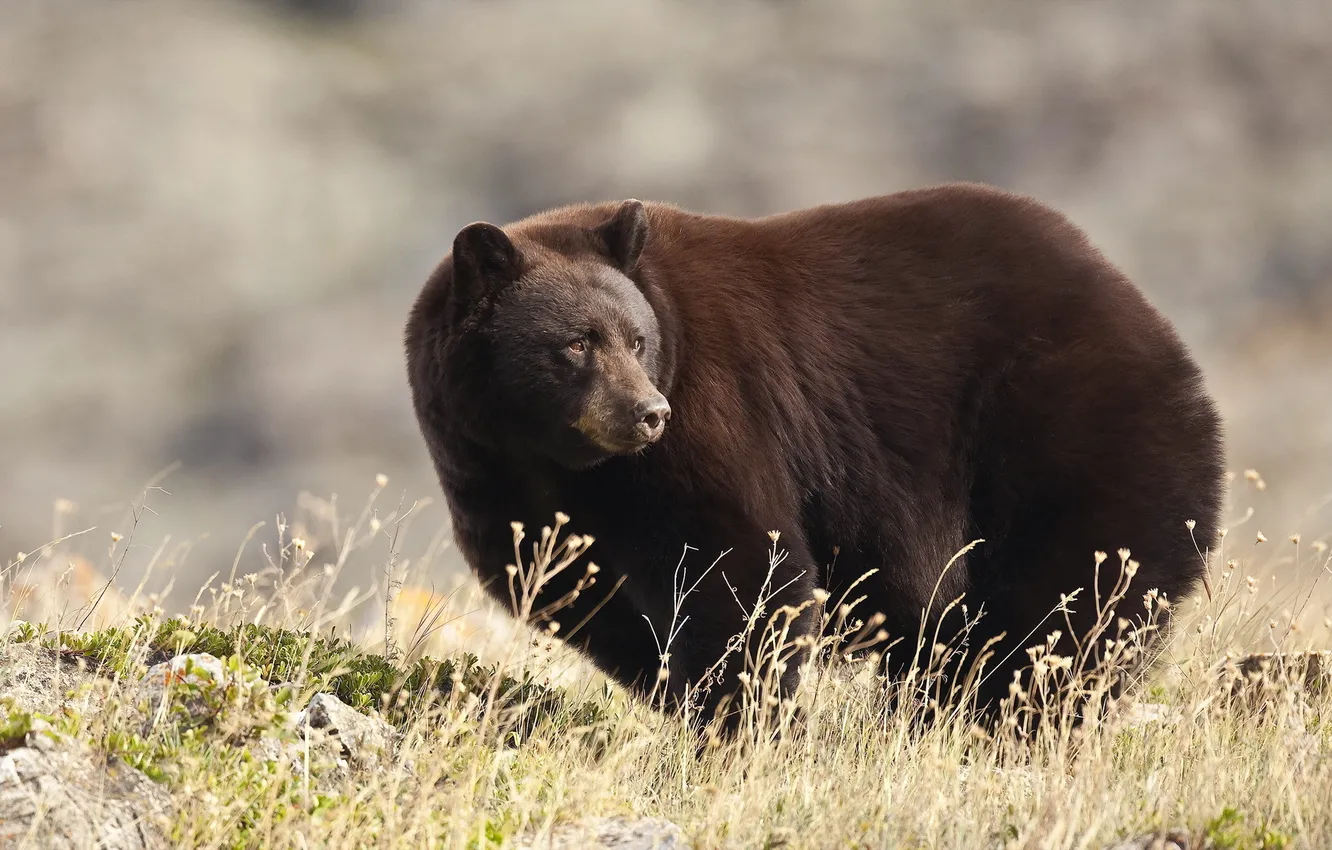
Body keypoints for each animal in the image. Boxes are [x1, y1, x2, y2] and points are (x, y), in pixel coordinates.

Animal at [404, 182, 1225, 733]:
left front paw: (737, 718)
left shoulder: (711, 409)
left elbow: (739, 566)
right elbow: (578, 592)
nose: (647, 413)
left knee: (1070, 600)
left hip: (1063, 426)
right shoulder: (493, 477)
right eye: (575, 343)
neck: (553, 457)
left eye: (637, 339)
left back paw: (1003, 719)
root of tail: (1145, 313)